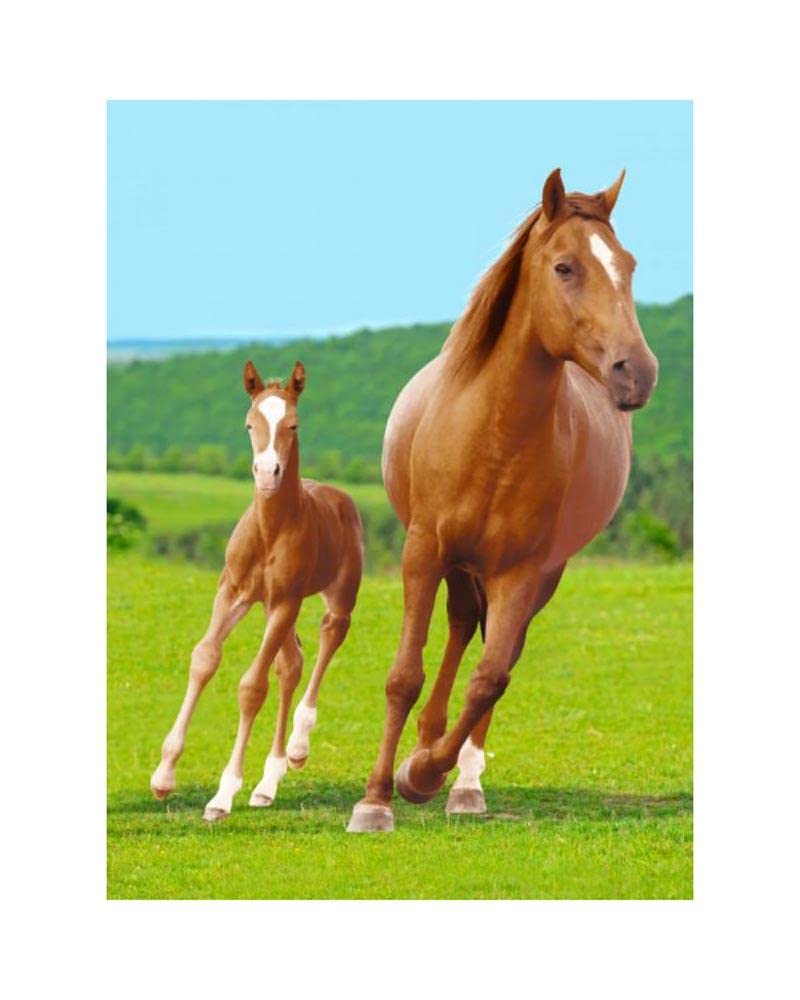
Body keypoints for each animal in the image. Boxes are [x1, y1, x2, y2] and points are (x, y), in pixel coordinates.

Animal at [151, 360, 363, 821]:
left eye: (293, 424)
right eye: (250, 424)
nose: (268, 473)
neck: (270, 531)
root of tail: (339, 496)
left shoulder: (285, 600)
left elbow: (252, 687)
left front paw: (223, 793)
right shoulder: (233, 592)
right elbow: (204, 659)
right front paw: (163, 775)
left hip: (333, 597)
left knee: (328, 638)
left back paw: (297, 748)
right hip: (267, 607)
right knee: (291, 664)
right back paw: (269, 782)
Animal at [347, 168, 658, 833]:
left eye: (628, 265)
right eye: (565, 267)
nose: (636, 372)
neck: (492, 433)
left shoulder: (520, 571)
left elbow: (490, 678)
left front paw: (425, 775)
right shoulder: (423, 553)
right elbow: (404, 675)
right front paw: (377, 797)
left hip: (533, 576)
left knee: (494, 650)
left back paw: (459, 780)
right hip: (458, 566)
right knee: (462, 626)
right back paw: (422, 745)